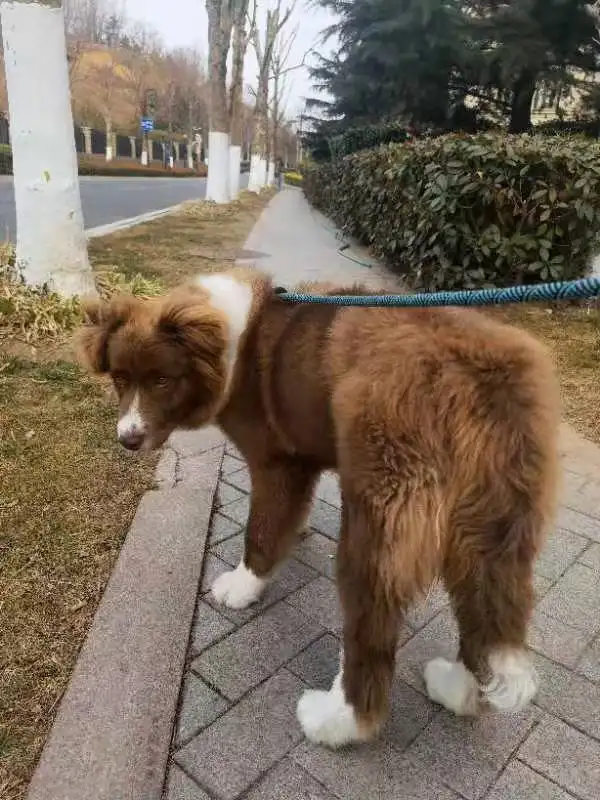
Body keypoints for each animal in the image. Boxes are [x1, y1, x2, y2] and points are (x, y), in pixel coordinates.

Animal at [77, 270, 560, 752]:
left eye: (162, 380)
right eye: (120, 379)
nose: (128, 439)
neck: (234, 345)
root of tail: (477, 378)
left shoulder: (276, 464)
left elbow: (260, 532)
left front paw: (242, 586)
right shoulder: (304, 463)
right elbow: (285, 520)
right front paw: (298, 533)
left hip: (377, 525)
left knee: (371, 633)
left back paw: (336, 721)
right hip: (495, 526)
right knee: (485, 611)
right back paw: (457, 689)